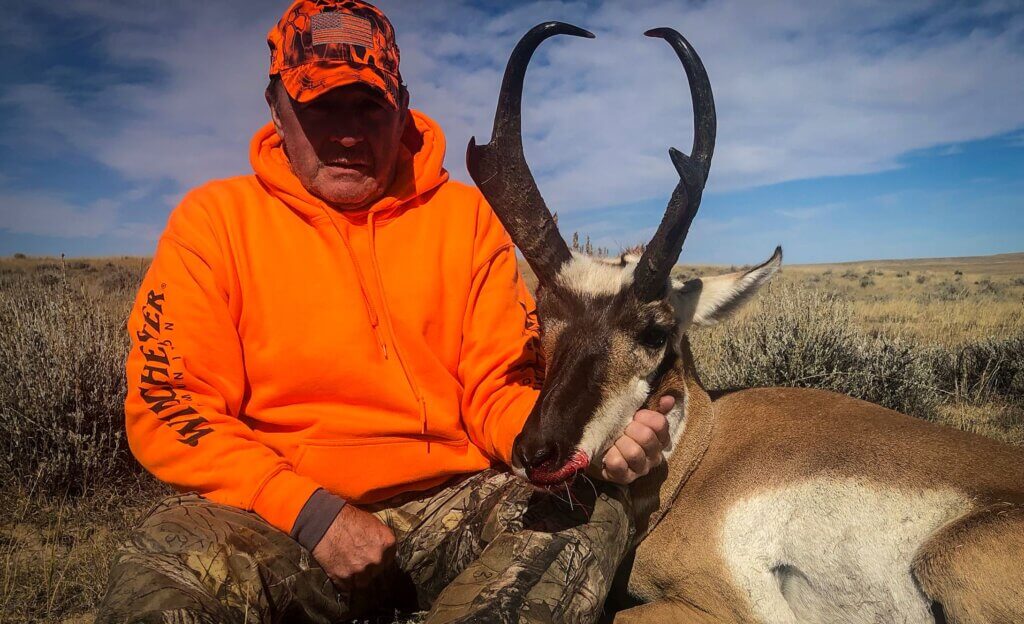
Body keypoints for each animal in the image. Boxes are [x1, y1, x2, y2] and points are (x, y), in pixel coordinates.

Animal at [467, 22, 1024, 624]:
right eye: (540, 317)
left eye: (656, 331)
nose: (536, 454)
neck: (704, 451)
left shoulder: (733, 605)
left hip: (954, 555)